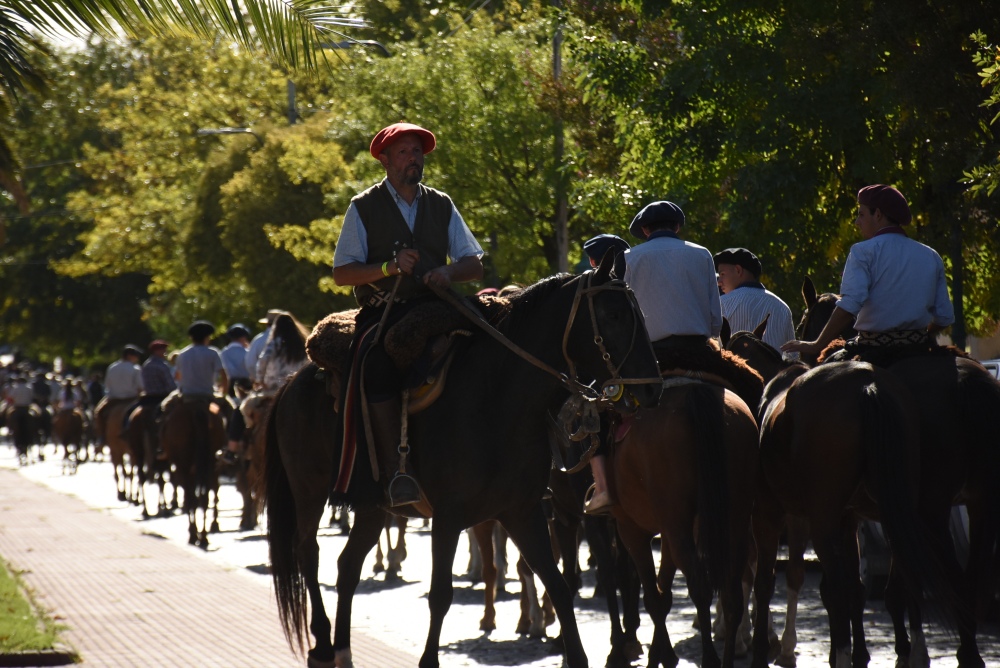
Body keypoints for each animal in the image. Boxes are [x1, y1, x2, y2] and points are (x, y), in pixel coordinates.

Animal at [260, 262, 664, 668]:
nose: (653, 388)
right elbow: (441, 596)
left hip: (371, 506)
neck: (496, 398)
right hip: (308, 491)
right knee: (308, 553)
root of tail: (290, 382)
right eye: (613, 315)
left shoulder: (523, 513)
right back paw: (323, 643)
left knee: (347, 566)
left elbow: (559, 586)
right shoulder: (448, 518)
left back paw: (343, 648)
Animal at [608, 376, 756, 668]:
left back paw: (709, 657)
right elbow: (663, 594)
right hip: (734, 522)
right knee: (732, 597)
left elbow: (654, 598)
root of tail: (697, 392)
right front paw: (661, 654)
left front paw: (656, 656)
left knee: (700, 587)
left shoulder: (632, 530)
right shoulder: (668, 531)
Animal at [796, 280, 1000, 664]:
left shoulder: (866, 515)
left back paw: (966, 653)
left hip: (932, 509)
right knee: (970, 579)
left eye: (803, 322)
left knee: (952, 580)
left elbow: (864, 587)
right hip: (981, 503)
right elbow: (899, 586)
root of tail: (966, 383)